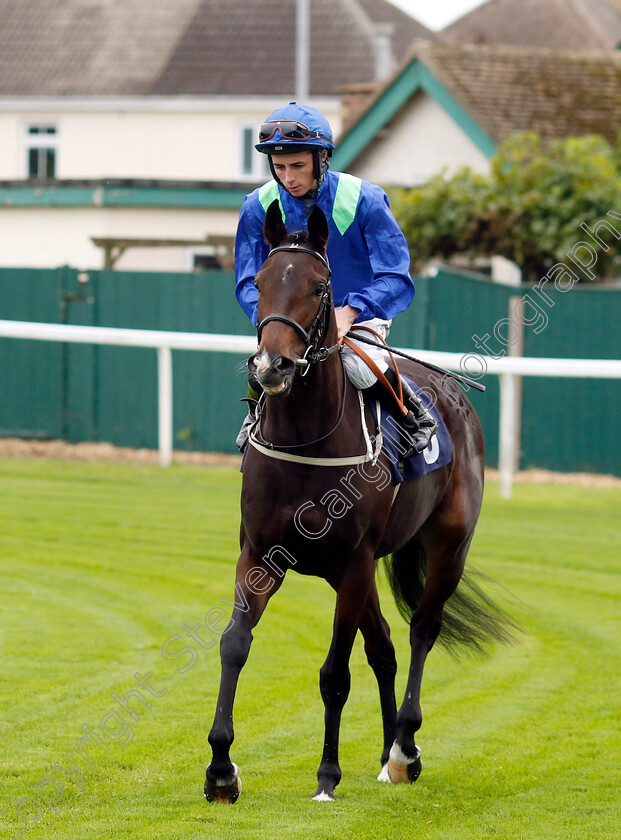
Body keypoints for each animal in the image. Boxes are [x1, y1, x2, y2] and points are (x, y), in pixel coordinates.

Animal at [206, 200, 512, 804]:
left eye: (320, 286)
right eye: (261, 281)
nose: (271, 367)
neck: (305, 441)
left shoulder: (351, 565)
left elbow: (334, 673)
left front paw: (327, 775)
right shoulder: (261, 556)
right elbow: (234, 644)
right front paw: (221, 769)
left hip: (446, 548)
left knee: (422, 630)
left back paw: (404, 749)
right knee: (386, 645)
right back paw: (387, 748)